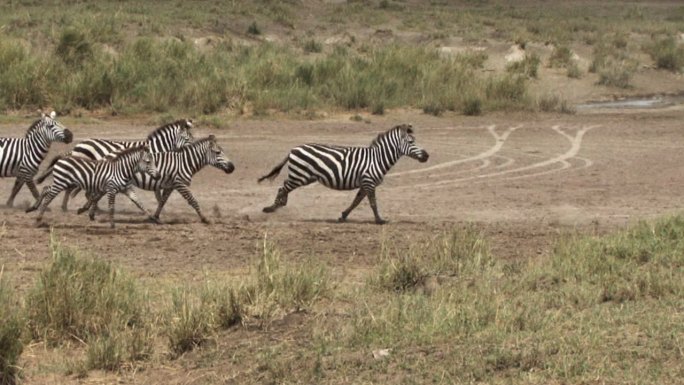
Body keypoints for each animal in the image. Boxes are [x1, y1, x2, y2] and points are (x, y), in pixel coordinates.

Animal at [27, 144, 161, 228]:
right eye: (148, 162)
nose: (159, 175)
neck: (121, 171)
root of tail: (63, 158)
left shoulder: (126, 189)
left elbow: (140, 204)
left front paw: (154, 219)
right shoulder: (111, 189)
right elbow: (111, 207)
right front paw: (112, 225)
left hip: (63, 182)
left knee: (46, 189)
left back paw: (33, 208)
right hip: (61, 183)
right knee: (49, 197)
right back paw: (38, 218)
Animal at [37, 119, 194, 212]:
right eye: (187, 139)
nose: (194, 148)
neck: (156, 149)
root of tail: (78, 145)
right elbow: (158, 192)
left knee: (76, 190)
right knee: (72, 189)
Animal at [79, 135, 235, 224]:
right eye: (218, 152)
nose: (232, 167)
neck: (186, 162)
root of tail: (107, 155)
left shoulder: (171, 185)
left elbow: (162, 201)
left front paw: (156, 216)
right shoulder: (180, 183)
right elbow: (193, 201)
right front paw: (204, 218)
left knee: (98, 194)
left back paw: (90, 212)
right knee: (96, 193)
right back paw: (88, 210)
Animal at [256, 124, 428, 224]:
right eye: (411, 142)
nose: (427, 155)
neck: (378, 159)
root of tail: (293, 149)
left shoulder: (365, 183)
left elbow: (356, 201)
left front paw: (343, 216)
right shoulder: (369, 181)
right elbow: (373, 203)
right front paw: (379, 220)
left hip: (305, 177)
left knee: (285, 187)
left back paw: (280, 204)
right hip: (300, 176)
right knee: (283, 187)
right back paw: (271, 208)